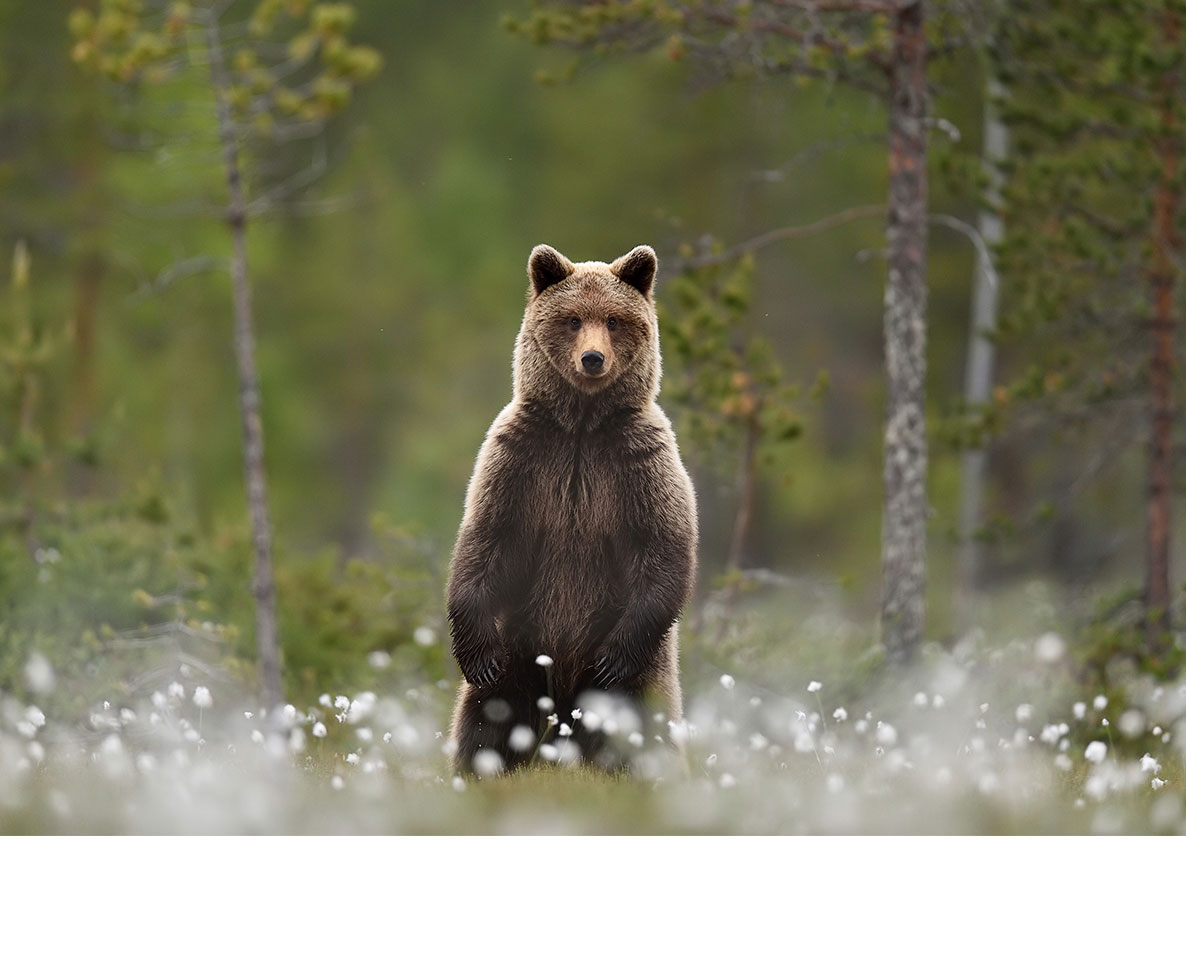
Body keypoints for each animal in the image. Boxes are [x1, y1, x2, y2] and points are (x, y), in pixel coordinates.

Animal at [448, 245, 697, 773]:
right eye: (572, 318)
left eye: (614, 320)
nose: (593, 358)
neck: (582, 427)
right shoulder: (521, 460)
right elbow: (486, 539)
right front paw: (476, 653)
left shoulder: (638, 463)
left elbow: (663, 547)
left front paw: (612, 658)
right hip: (520, 653)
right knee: (486, 722)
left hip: (644, 681)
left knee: (642, 732)